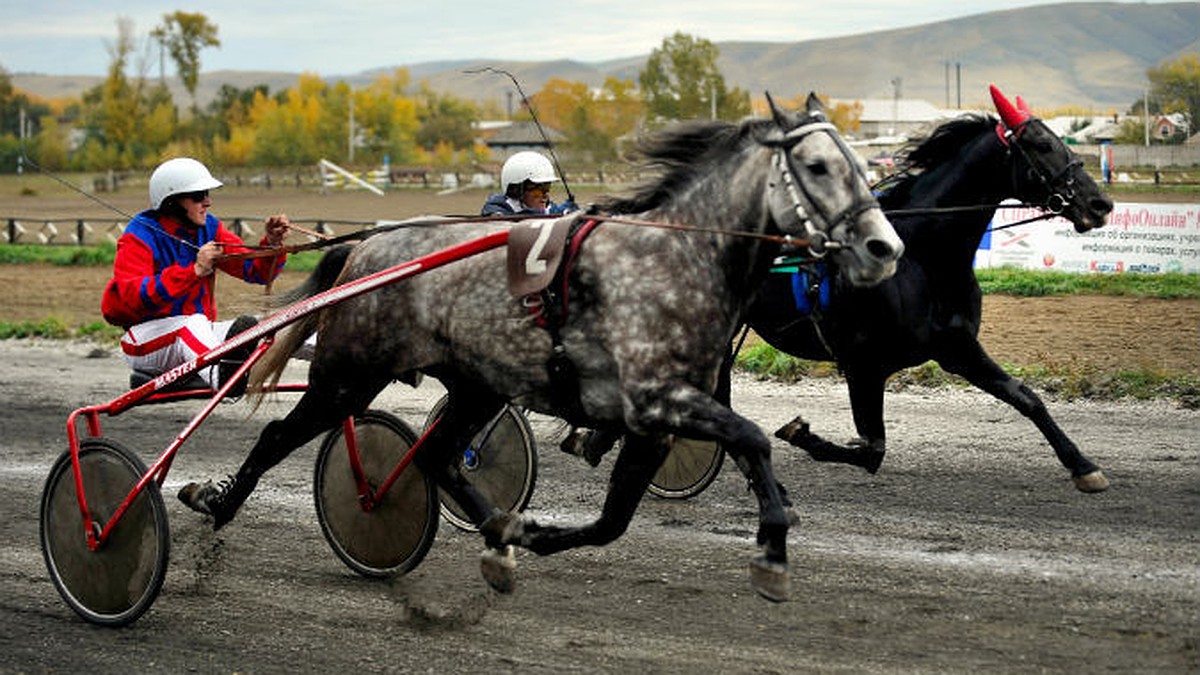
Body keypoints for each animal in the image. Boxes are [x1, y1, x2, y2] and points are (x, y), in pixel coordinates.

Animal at [748, 86, 1113, 492]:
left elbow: (1027, 397)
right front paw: (798, 433)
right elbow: (872, 450)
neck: (923, 258)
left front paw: (1083, 466)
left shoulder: (958, 348)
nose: (1101, 204)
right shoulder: (863, 365)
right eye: (1042, 144)